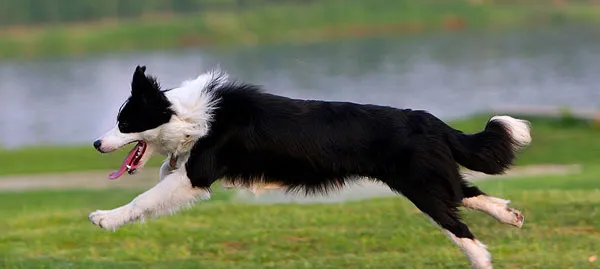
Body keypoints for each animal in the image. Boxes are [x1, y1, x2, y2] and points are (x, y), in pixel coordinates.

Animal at [91, 65, 532, 268]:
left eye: (124, 122)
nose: (96, 143)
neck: (186, 115)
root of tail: (430, 120)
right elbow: (163, 174)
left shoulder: (197, 176)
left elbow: (145, 198)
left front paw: (105, 218)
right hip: (430, 178)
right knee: (468, 193)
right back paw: (509, 216)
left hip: (421, 185)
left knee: (459, 224)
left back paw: (482, 258)